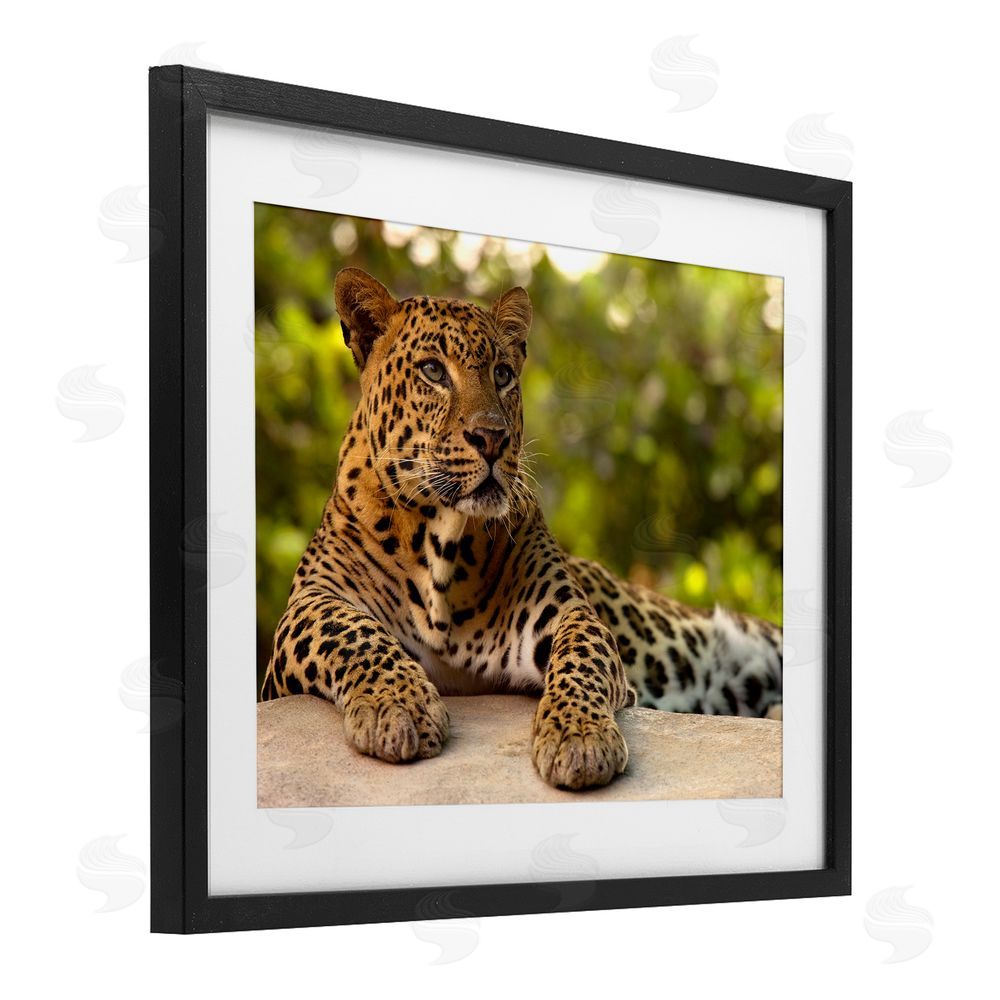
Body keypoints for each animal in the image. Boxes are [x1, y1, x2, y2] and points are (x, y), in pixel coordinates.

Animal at [260, 267, 782, 790]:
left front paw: (579, 737)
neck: (441, 542)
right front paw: (398, 706)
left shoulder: (566, 611)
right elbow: (350, 631)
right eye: (433, 371)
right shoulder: (306, 608)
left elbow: (581, 655)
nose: (492, 437)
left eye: (503, 374)